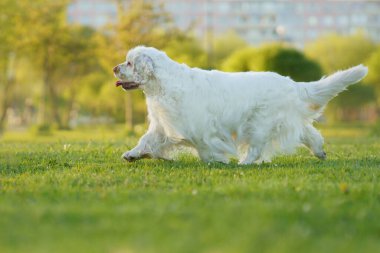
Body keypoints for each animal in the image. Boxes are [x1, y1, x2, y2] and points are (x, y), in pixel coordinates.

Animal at [113, 46, 368, 164]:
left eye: (129, 62)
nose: (115, 68)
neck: (162, 84)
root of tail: (291, 83)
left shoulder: (197, 128)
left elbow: (205, 147)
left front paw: (215, 160)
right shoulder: (162, 125)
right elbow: (146, 140)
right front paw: (132, 154)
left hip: (258, 125)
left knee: (255, 149)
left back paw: (244, 163)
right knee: (309, 133)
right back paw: (319, 151)